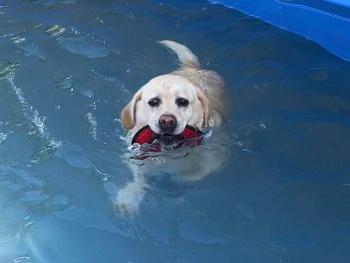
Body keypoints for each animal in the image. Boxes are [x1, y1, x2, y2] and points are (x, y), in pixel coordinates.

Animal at [116, 39, 228, 217]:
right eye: (153, 102)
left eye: (183, 101)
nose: (167, 121)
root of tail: (193, 69)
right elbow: (139, 177)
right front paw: (130, 196)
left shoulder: (216, 155)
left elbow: (201, 171)